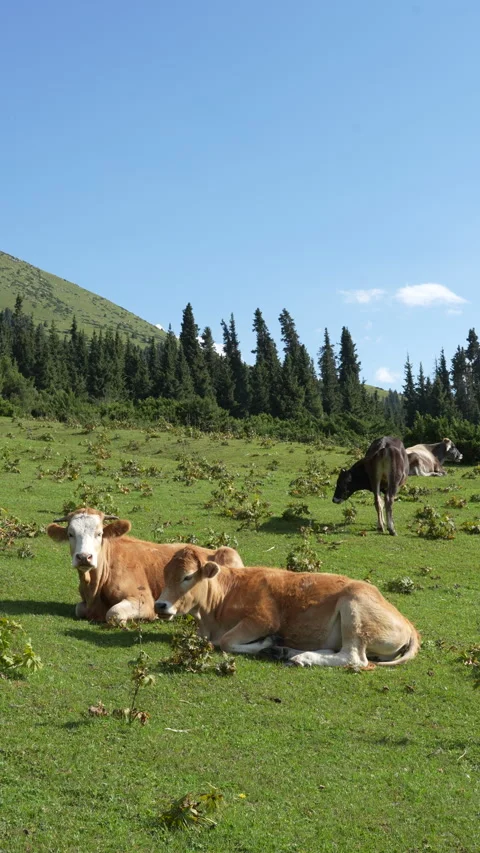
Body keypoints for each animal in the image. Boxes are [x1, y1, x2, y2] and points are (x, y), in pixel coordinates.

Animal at [46, 506, 244, 623]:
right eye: (70, 534)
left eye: (99, 533)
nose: (84, 557)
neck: (94, 588)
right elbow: (79, 608)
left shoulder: (144, 601)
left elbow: (113, 613)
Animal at [154, 548, 420, 669]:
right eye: (165, 574)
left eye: (187, 576)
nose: (160, 605)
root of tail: (409, 624)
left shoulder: (263, 619)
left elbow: (227, 642)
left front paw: (265, 643)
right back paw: (286, 651)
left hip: (353, 607)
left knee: (352, 657)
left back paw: (300, 657)